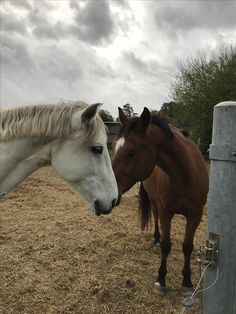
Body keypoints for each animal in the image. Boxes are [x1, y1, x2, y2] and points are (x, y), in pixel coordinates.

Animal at [112, 106, 208, 294]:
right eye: (113, 148)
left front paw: (187, 281)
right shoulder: (165, 212)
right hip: (155, 201)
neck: (185, 176)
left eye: (132, 152)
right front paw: (161, 279)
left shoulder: (196, 215)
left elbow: (187, 246)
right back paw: (156, 238)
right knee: (155, 218)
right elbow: (166, 245)